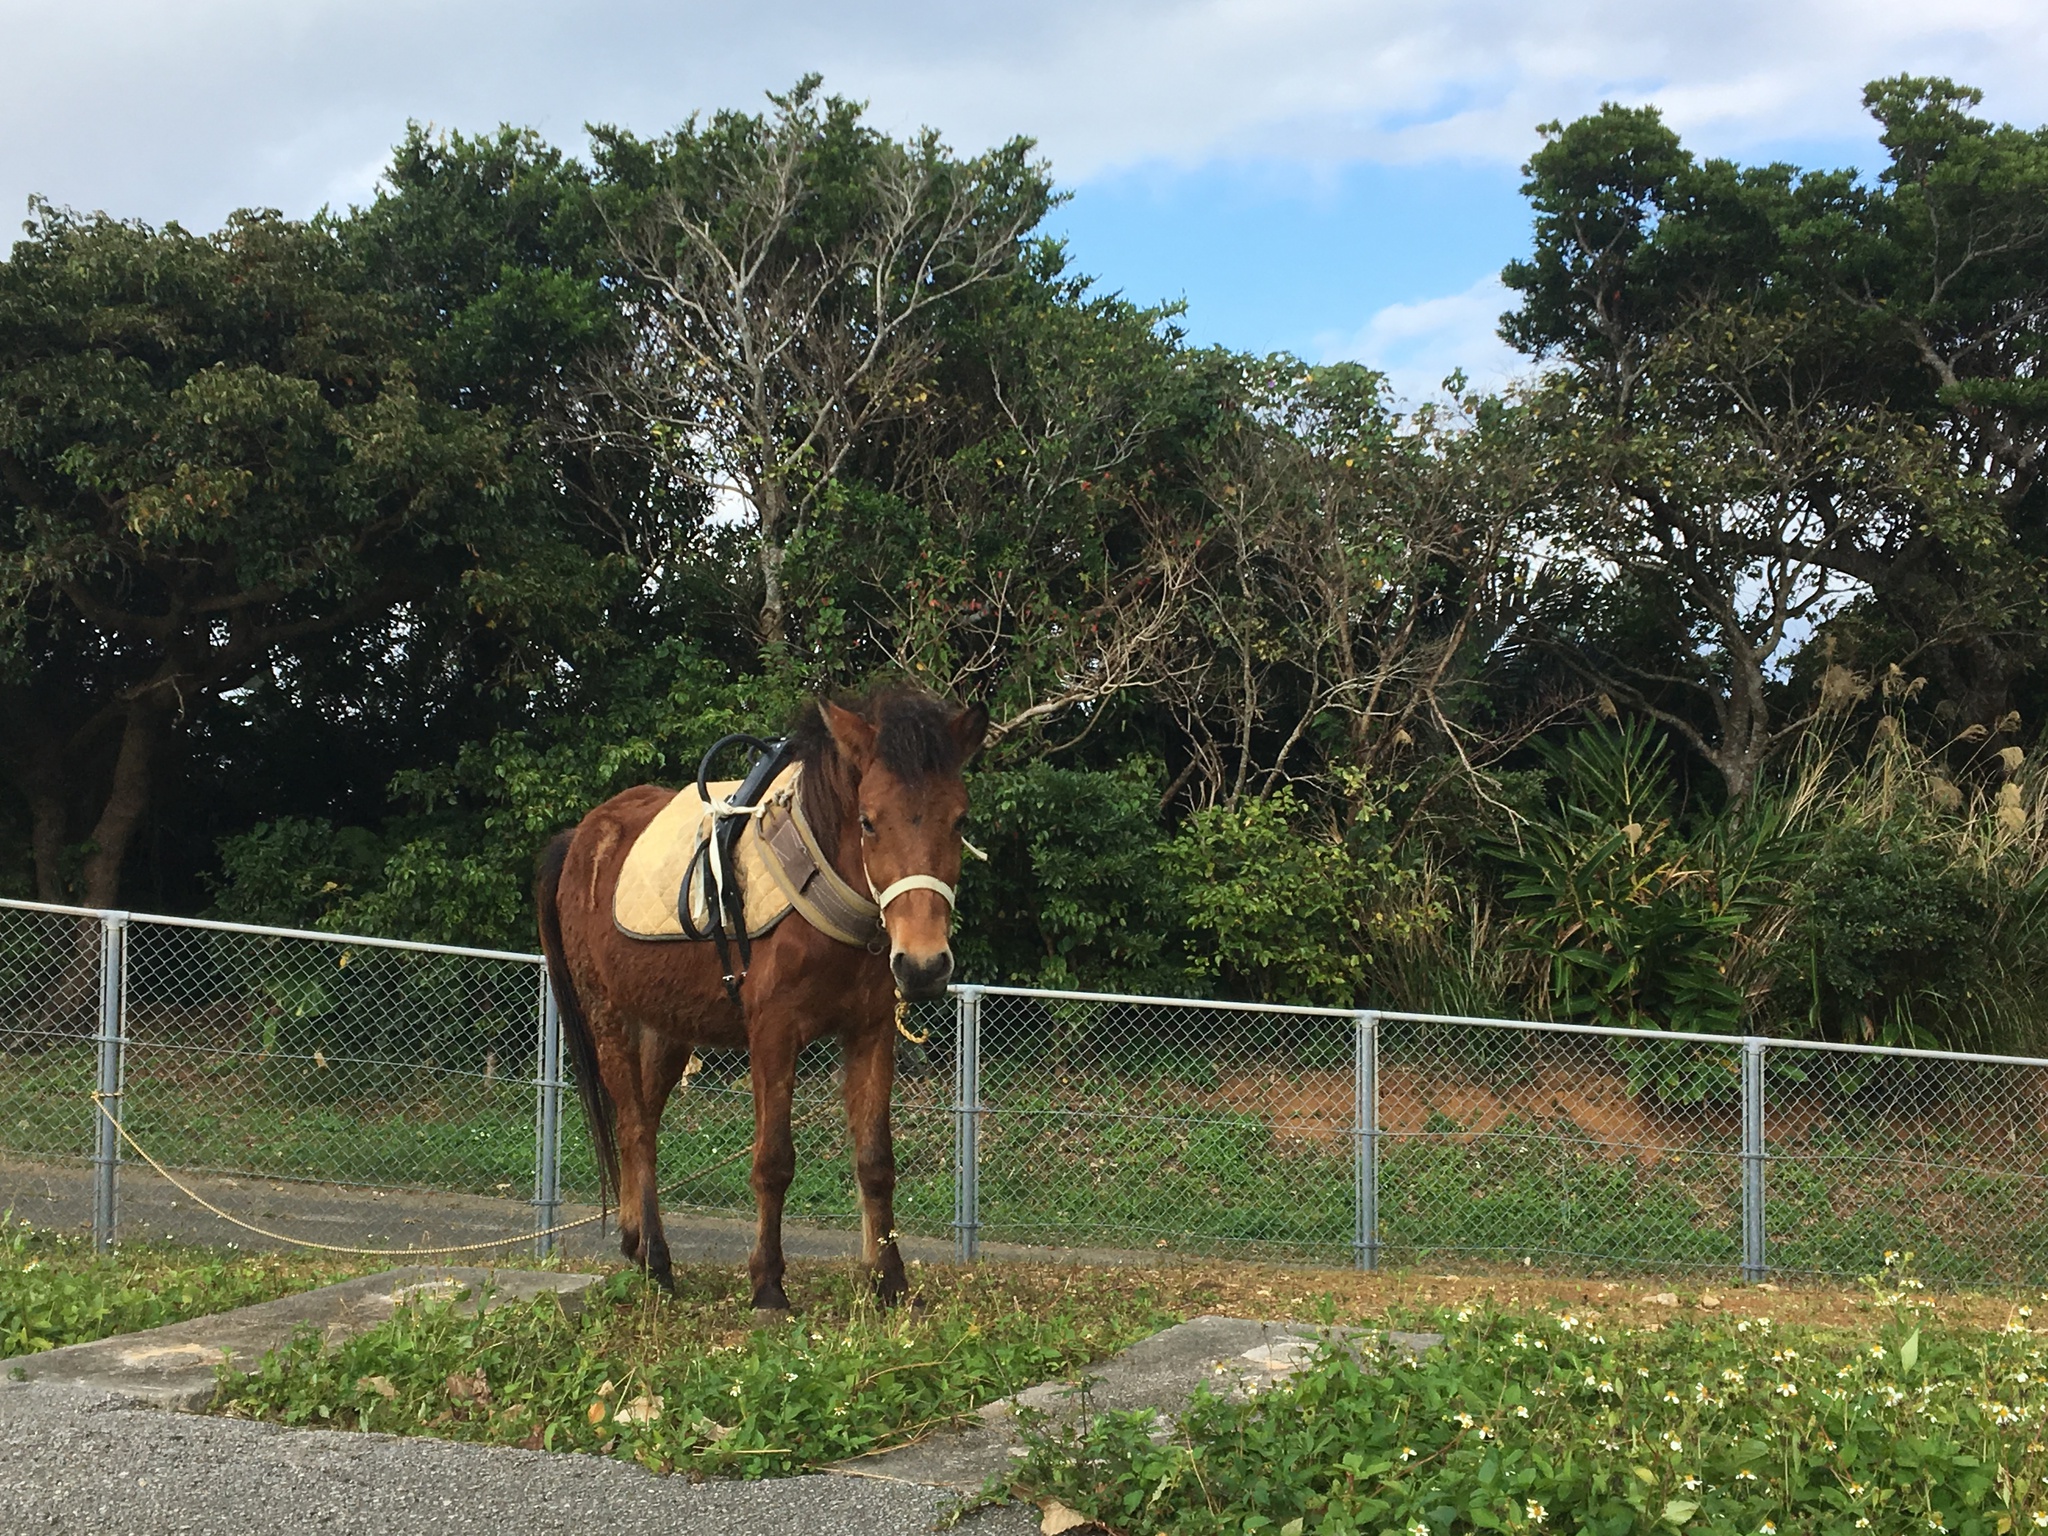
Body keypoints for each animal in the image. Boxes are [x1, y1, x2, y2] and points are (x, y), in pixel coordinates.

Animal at [536, 692, 983, 1302]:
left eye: (960, 820)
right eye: (868, 821)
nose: (922, 964)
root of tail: (581, 837)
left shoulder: (870, 1031)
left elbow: (875, 1161)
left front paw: (888, 1279)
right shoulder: (773, 1033)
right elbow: (773, 1161)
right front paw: (769, 1284)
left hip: (669, 1028)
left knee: (644, 1123)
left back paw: (637, 1242)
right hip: (607, 1015)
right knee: (632, 1127)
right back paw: (657, 1257)